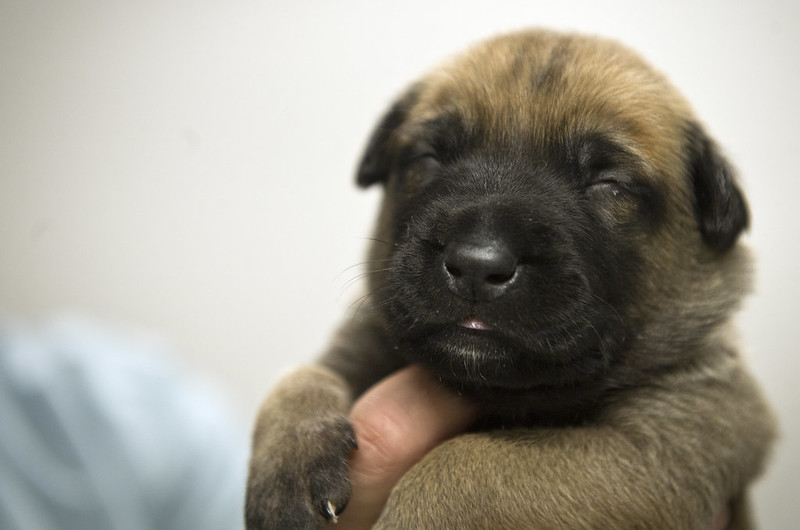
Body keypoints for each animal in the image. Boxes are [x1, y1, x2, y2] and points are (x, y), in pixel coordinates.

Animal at [245, 29, 776, 528]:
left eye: (608, 183)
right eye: (429, 159)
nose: (477, 266)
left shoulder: (672, 437)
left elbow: (473, 464)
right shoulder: (363, 341)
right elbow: (303, 374)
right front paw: (288, 457)